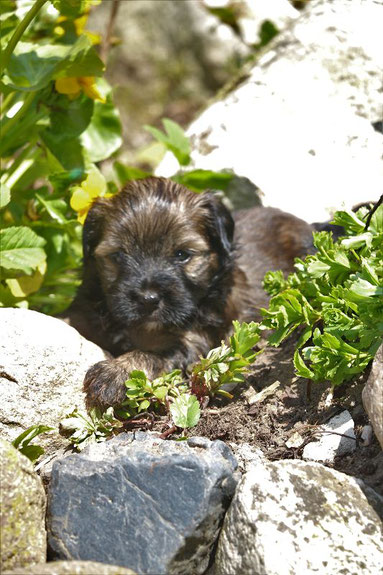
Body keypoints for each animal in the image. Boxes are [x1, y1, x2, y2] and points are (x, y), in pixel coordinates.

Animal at [66, 178, 316, 408]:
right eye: (118, 255)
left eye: (182, 254)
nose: (148, 299)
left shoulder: (197, 340)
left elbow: (153, 354)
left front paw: (115, 373)